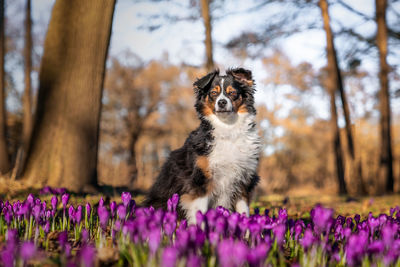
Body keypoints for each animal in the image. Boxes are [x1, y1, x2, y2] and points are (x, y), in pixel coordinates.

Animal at [145, 67, 260, 224]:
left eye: (232, 93)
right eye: (213, 93)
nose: (222, 102)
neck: (228, 129)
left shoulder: (243, 181)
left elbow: (244, 213)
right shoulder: (200, 181)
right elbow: (200, 214)